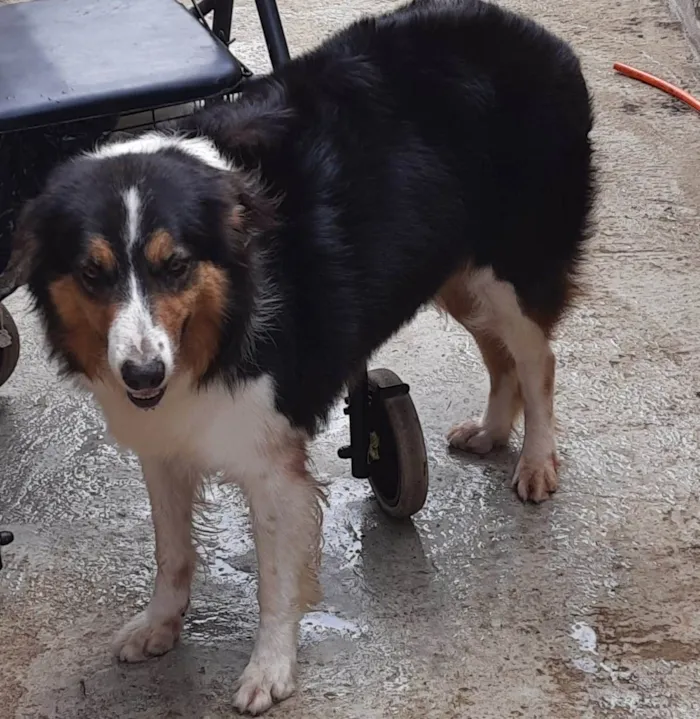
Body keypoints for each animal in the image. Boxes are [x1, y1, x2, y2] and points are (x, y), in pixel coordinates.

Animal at [8, 1, 592, 716]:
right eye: (92, 275)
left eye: (175, 266)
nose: (143, 374)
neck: (223, 319)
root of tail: (532, 31)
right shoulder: (166, 439)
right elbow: (171, 551)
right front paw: (159, 626)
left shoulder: (272, 464)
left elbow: (275, 581)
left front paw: (270, 669)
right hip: (456, 270)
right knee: (500, 355)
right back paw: (490, 432)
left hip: (509, 267)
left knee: (537, 361)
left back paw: (535, 461)